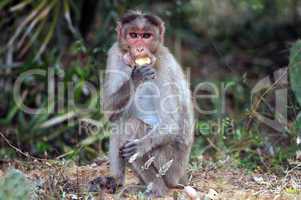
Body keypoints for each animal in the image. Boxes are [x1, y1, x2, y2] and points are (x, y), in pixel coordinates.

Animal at [102, 10, 193, 197]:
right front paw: (136, 76)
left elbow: (170, 124)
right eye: (133, 35)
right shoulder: (115, 53)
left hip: (170, 165)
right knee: (120, 122)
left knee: (131, 125)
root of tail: (182, 176)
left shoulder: (164, 64)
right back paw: (116, 181)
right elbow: (109, 110)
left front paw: (140, 146)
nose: (139, 48)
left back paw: (158, 190)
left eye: (146, 36)